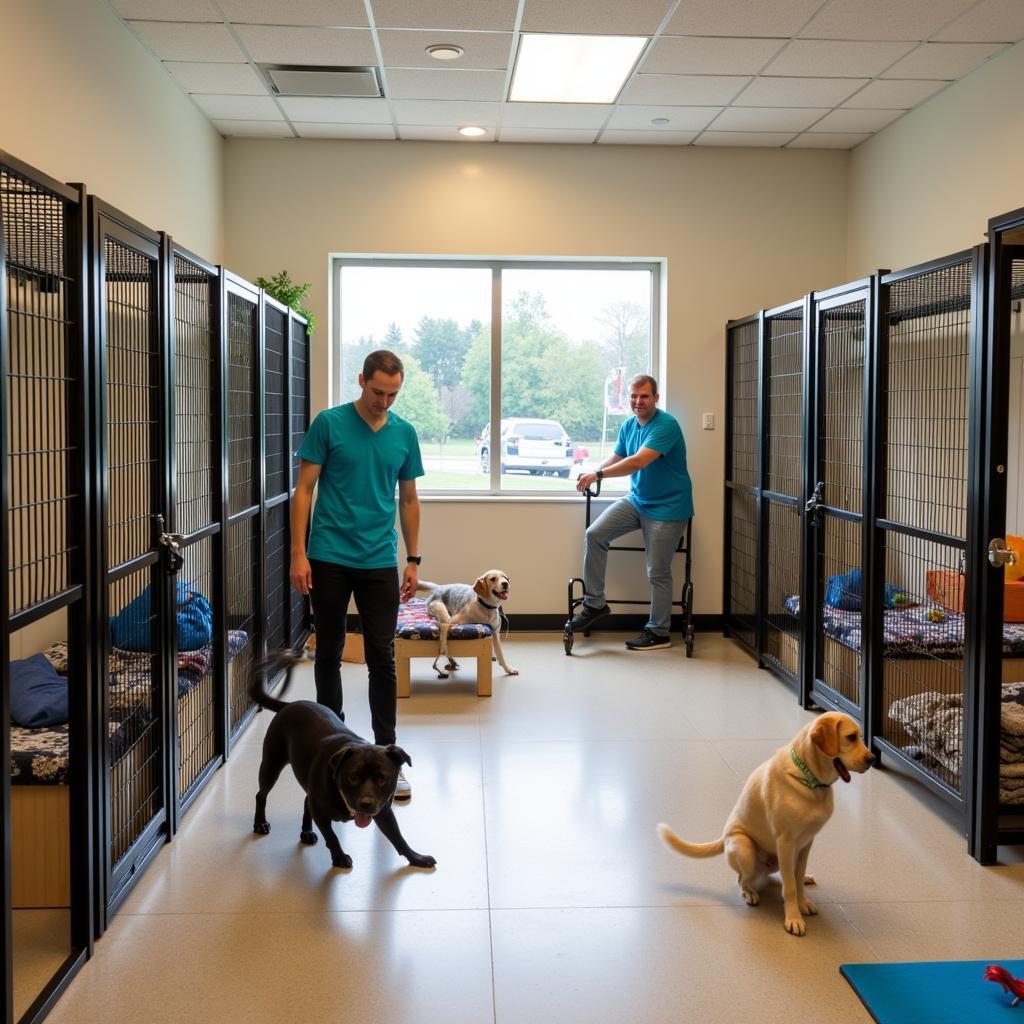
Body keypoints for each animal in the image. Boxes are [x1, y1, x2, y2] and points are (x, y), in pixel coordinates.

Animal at [250, 651, 436, 868]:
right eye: (353, 777)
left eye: (382, 778)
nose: (366, 804)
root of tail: (290, 705)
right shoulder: (320, 811)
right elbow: (331, 836)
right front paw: (339, 857)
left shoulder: (383, 812)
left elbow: (398, 838)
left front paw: (416, 857)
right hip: (271, 765)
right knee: (261, 794)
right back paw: (260, 823)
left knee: (305, 801)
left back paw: (306, 832)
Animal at [655, 712, 872, 937]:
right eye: (851, 737)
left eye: (860, 737)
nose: (872, 759)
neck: (808, 779)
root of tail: (724, 839)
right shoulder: (786, 842)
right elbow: (790, 888)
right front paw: (793, 918)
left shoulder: (807, 842)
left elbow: (796, 877)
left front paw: (803, 900)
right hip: (744, 848)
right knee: (743, 879)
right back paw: (749, 893)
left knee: (784, 874)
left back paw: (804, 877)